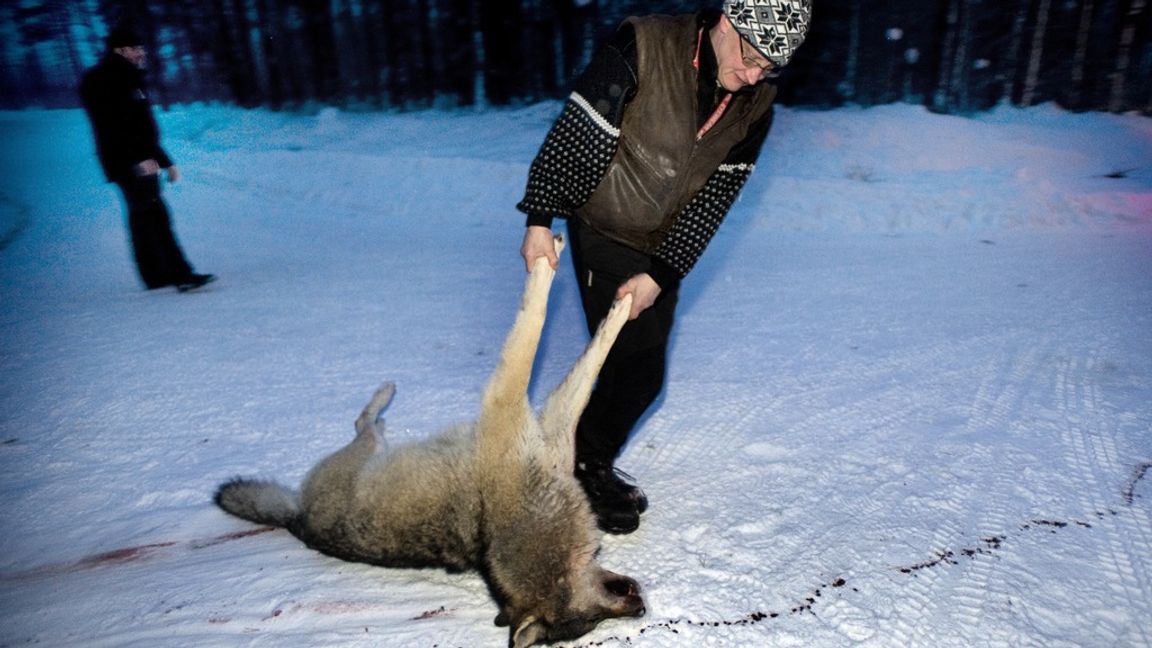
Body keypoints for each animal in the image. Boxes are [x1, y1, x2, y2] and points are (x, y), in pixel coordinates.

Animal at [214, 234, 649, 641]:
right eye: (593, 621)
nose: (643, 606)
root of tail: (297, 519)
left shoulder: (549, 429)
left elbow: (588, 361)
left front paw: (622, 302)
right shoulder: (509, 403)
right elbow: (540, 324)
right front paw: (569, 273)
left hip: (366, 454)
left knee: (364, 425)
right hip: (363, 452)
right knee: (361, 422)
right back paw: (384, 397)